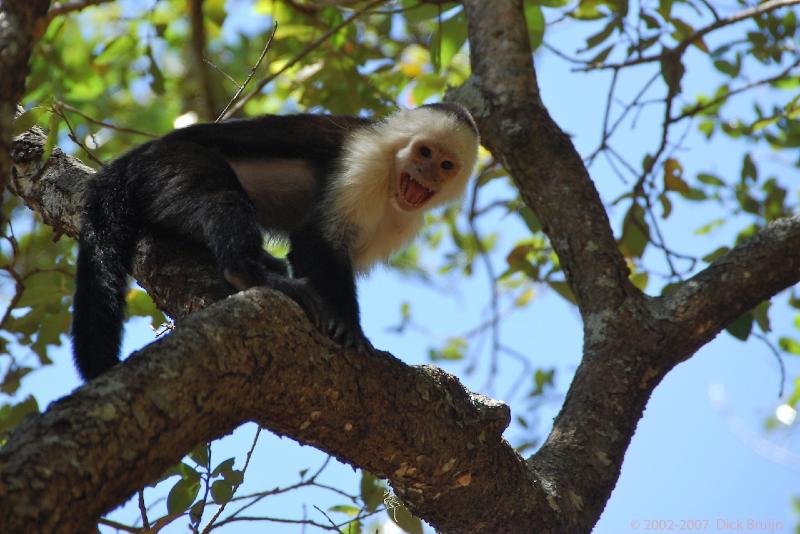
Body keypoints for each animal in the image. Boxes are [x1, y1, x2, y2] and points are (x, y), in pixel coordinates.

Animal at [70, 102, 476, 384]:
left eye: (446, 165)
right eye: (424, 152)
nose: (426, 173)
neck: (393, 176)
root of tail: (133, 158)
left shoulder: (403, 219)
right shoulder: (367, 162)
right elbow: (315, 240)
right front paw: (348, 325)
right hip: (166, 165)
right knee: (219, 195)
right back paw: (249, 272)